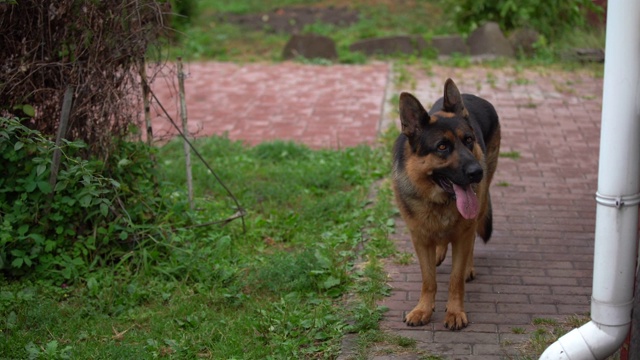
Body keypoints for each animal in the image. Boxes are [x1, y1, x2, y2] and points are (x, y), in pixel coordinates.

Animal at [390, 79, 500, 330]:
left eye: (468, 140)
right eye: (442, 147)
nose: (477, 173)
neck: (438, 201)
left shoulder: (463, 233)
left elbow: (455, 279)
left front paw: (455, 312)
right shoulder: (420, 239)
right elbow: (428, 279)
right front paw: (423, 309)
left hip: (479, 206)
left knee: (470, 242)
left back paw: (468, 266)